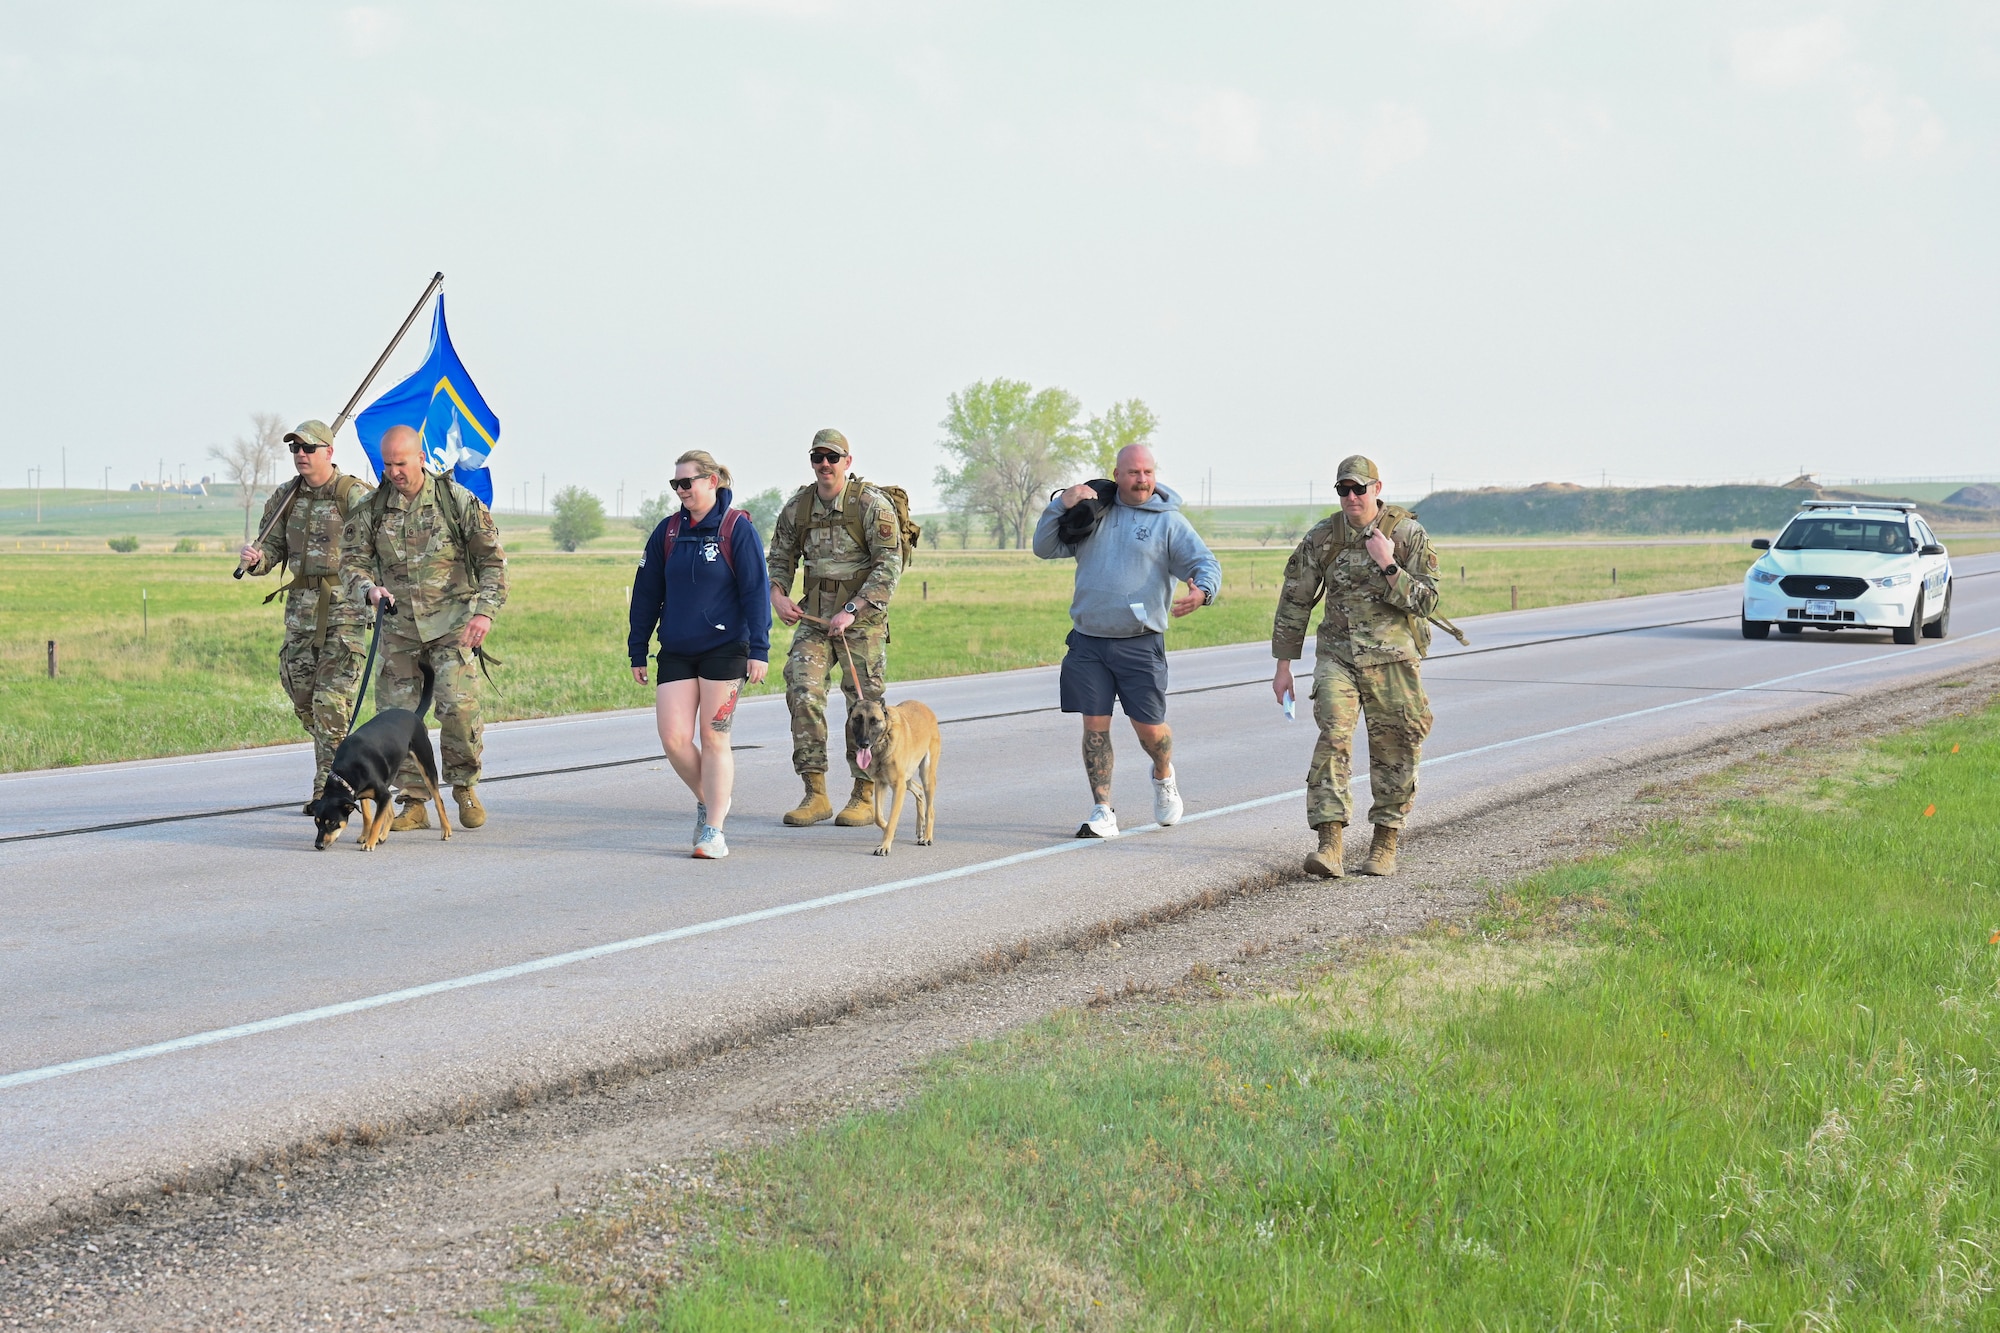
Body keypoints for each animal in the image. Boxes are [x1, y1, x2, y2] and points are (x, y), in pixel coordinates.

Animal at [304, 656, 454, 852]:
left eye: (333, 823)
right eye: (317, 822)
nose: (318, 845)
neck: (346, 773)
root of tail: (413, 715)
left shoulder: (382, 794)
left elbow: (376, 820)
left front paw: (369, 842)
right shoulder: (363, 794)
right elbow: (369, 816)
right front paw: (366, 836)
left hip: (426, 763)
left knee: (438, 800)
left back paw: (446, 830)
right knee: (389, 812)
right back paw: (383, 836)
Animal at [844, 696, 936, 852]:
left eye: (874, 721)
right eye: (857, 719)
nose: (864, 744)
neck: (885, 738)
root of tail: (924, 706)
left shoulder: (898, 788)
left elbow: (893, 818)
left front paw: (885, 845)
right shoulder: (881, 784)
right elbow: (878, 816)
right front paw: (888, 831)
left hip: (926, 775)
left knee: (930, 809)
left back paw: (927, 836)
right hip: (907, 779)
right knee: (919, 791)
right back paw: (920, 827)